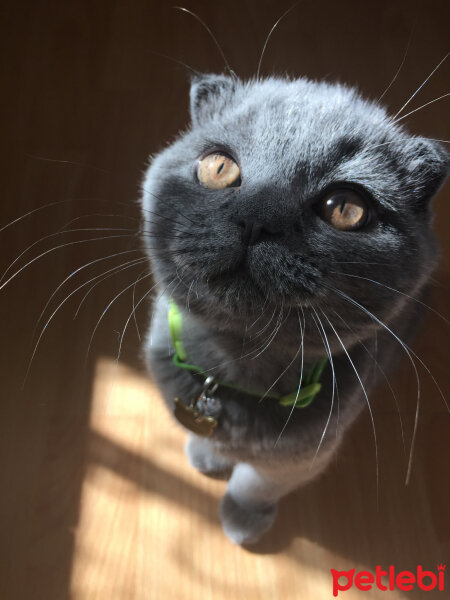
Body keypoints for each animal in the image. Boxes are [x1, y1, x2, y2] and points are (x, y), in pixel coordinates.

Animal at [139, 74, 448, 544]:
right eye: (218, 168)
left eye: (346, 208)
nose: (256, 218)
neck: (234, 369)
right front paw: (209, 455)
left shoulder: (304, 454)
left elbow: (256, 483)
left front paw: (243, 519)